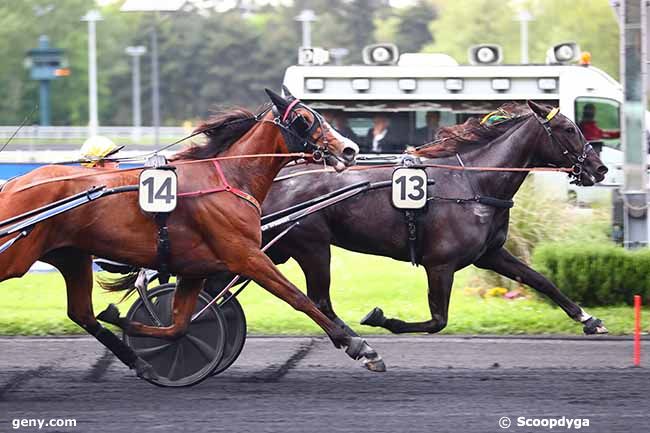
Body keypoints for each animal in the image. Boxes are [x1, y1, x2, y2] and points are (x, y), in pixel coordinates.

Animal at [0, 88, 390, 382]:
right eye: (305, 120)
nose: (350, 149)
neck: (227, 178)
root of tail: (13, 184)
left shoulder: (194, 268)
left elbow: (178, 327)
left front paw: (128, 325)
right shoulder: (247, 256)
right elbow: (300, 298)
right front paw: (360, 346)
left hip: (72, 256)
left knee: (82, 313)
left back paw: (136, 359)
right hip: (17, 255)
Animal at [208, 100, 608, 338]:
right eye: (569, 129)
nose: (600, 168)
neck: (473, 182)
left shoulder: (490, 254)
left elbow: (542, 281)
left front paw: (589, 319)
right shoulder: (440, 264)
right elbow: (437, 320)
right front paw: (381, 319)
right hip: (311, 247)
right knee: (317, 301)